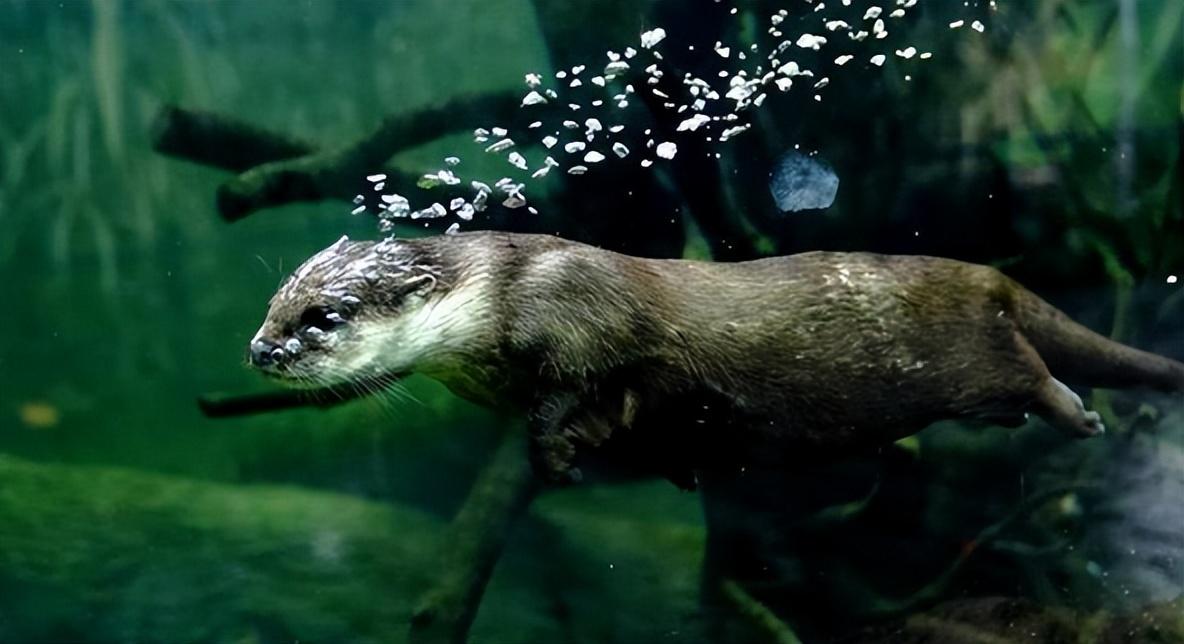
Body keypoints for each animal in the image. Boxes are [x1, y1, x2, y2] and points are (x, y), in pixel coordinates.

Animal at [245, 234, 1179, 485]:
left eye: (323, 317)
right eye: (273, 305)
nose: (260, 350)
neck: (502, 291)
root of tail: (988, 275)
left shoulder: (577, 316)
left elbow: (572, 397)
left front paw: (556, 458)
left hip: (964, 352)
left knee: (1026, 371)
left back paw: (1077, 414)